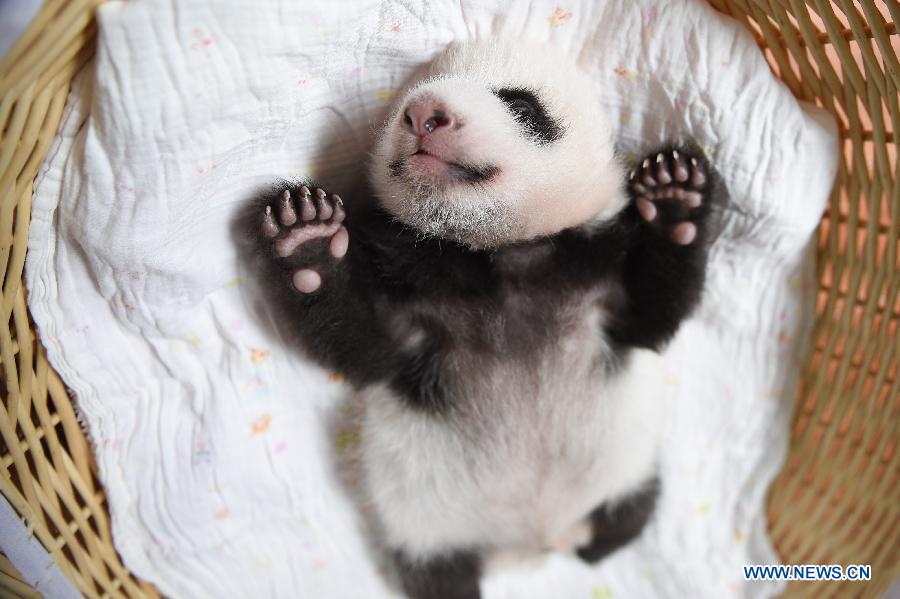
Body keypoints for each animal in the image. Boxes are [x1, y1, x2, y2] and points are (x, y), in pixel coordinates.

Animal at [248, 39, 721, 599]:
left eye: (520, 105)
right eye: (404, 101)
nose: (425, 113)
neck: (499, 253)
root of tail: (532, 545)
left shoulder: (597, 270)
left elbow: (649, 319)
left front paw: (674, 195)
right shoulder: (412, 286)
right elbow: (369, 350)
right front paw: (309, 240)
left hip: (624, 471)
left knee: (626, 518)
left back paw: (596, 543)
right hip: (425, 527)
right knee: (440, 575)